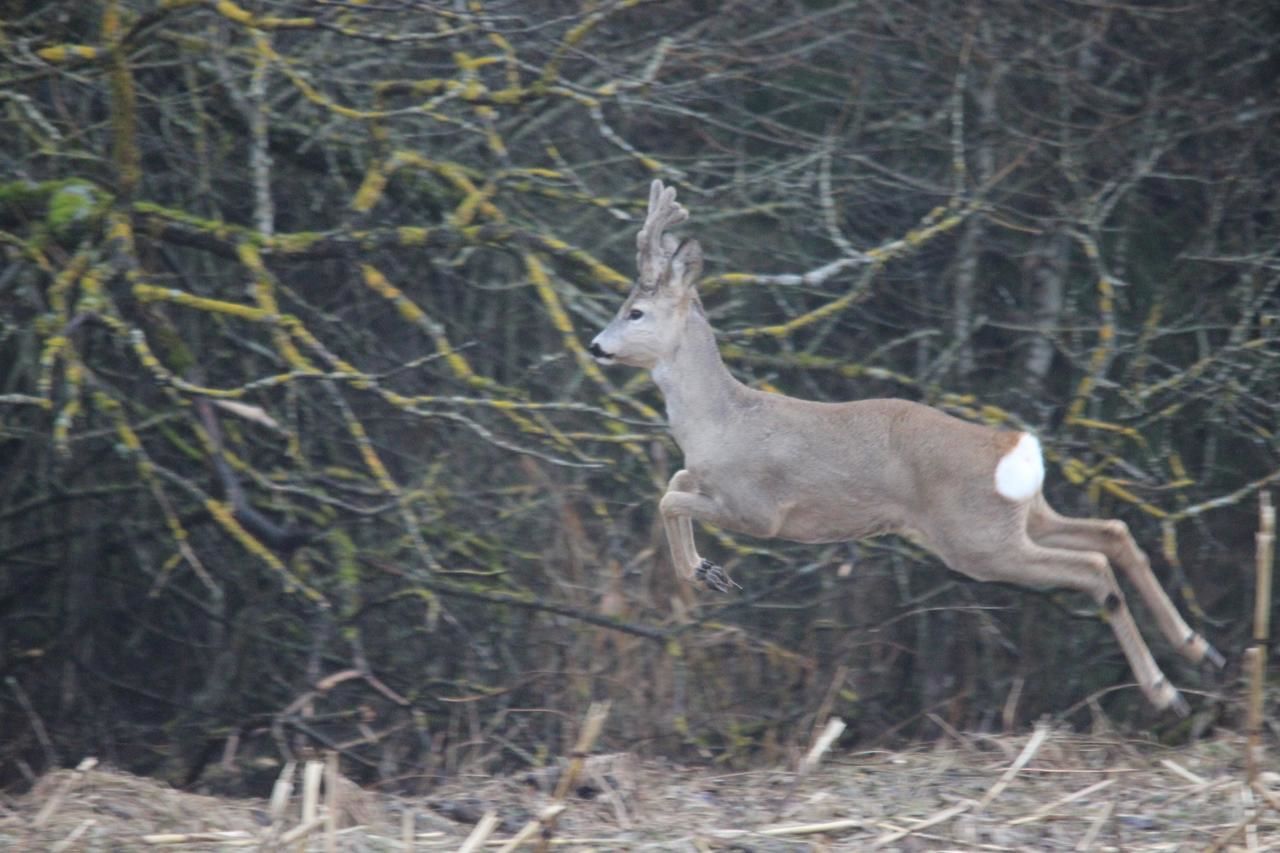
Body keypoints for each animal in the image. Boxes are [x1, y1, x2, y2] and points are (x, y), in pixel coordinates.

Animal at [586, 179, 1223, 712]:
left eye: (634, 311)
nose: (595, 345)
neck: (719, 420)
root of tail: (1012, 444)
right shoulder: (710, 481)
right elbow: (674, 484)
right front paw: (705, 571)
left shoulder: (759, 510)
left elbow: (669, 497)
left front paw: (703, 571)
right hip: (1019, 517)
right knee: (1114, 534)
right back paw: (1200, 649)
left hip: (976, 538)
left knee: (1090, 567)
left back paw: (1167, 693)